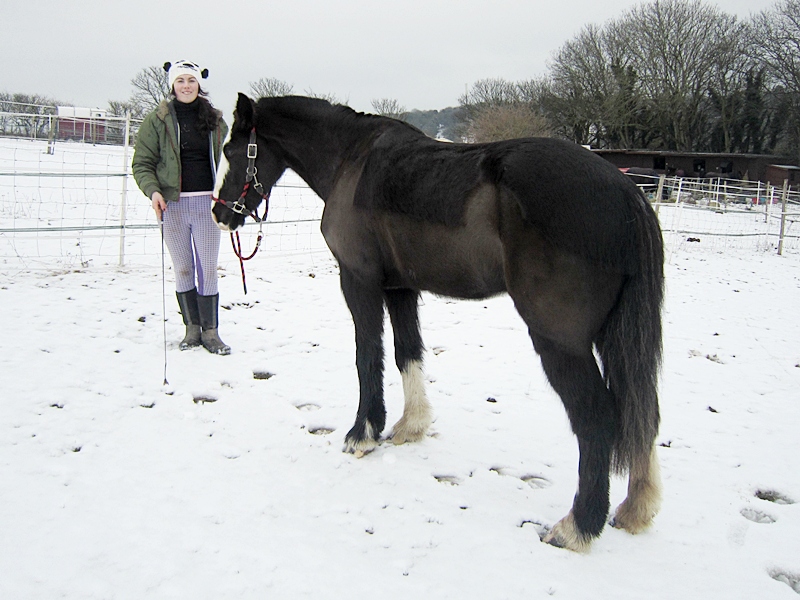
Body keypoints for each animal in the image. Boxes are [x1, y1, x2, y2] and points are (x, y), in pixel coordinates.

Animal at [212, 93, 665, 552]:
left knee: (597, 417)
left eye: (231, 150)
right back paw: (635, 509)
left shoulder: (358, 281)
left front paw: (362, 432)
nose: (219, 213)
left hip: (560, 341)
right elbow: (406, 353)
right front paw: (410, 425)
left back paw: (577, 526)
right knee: (640, 409)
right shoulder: (400, 289)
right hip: (614, 336)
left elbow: (367, 356)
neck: (351, 156)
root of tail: (627, 193)